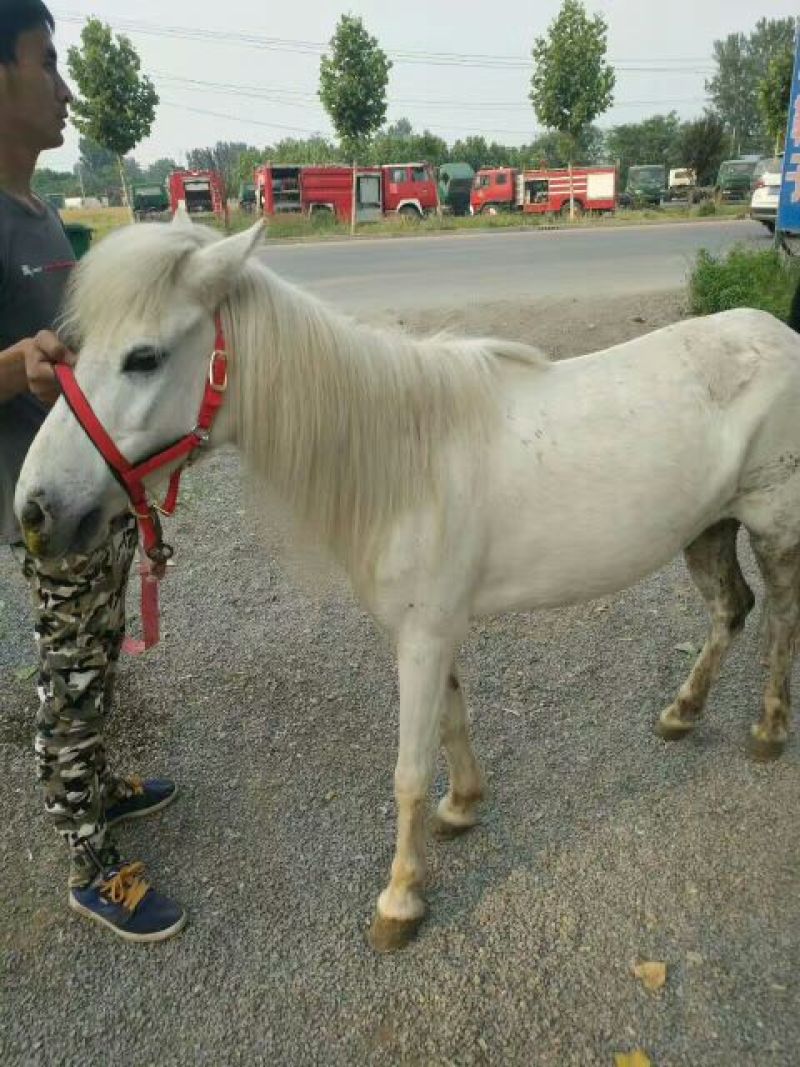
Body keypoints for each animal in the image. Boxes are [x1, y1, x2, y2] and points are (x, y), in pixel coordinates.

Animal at [15, 217, 800, 951]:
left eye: (143, 357)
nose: (35, 510)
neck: (407, 460)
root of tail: (777, 333)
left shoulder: (422, 637)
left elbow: (408, 772)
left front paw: (399, 900)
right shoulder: (433, 630)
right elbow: (451, 725)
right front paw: (463, 808)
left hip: (773, 529)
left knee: (779, 623)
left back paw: (767, 730)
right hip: (706, 527)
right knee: (731, 611)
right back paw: (683, 712)